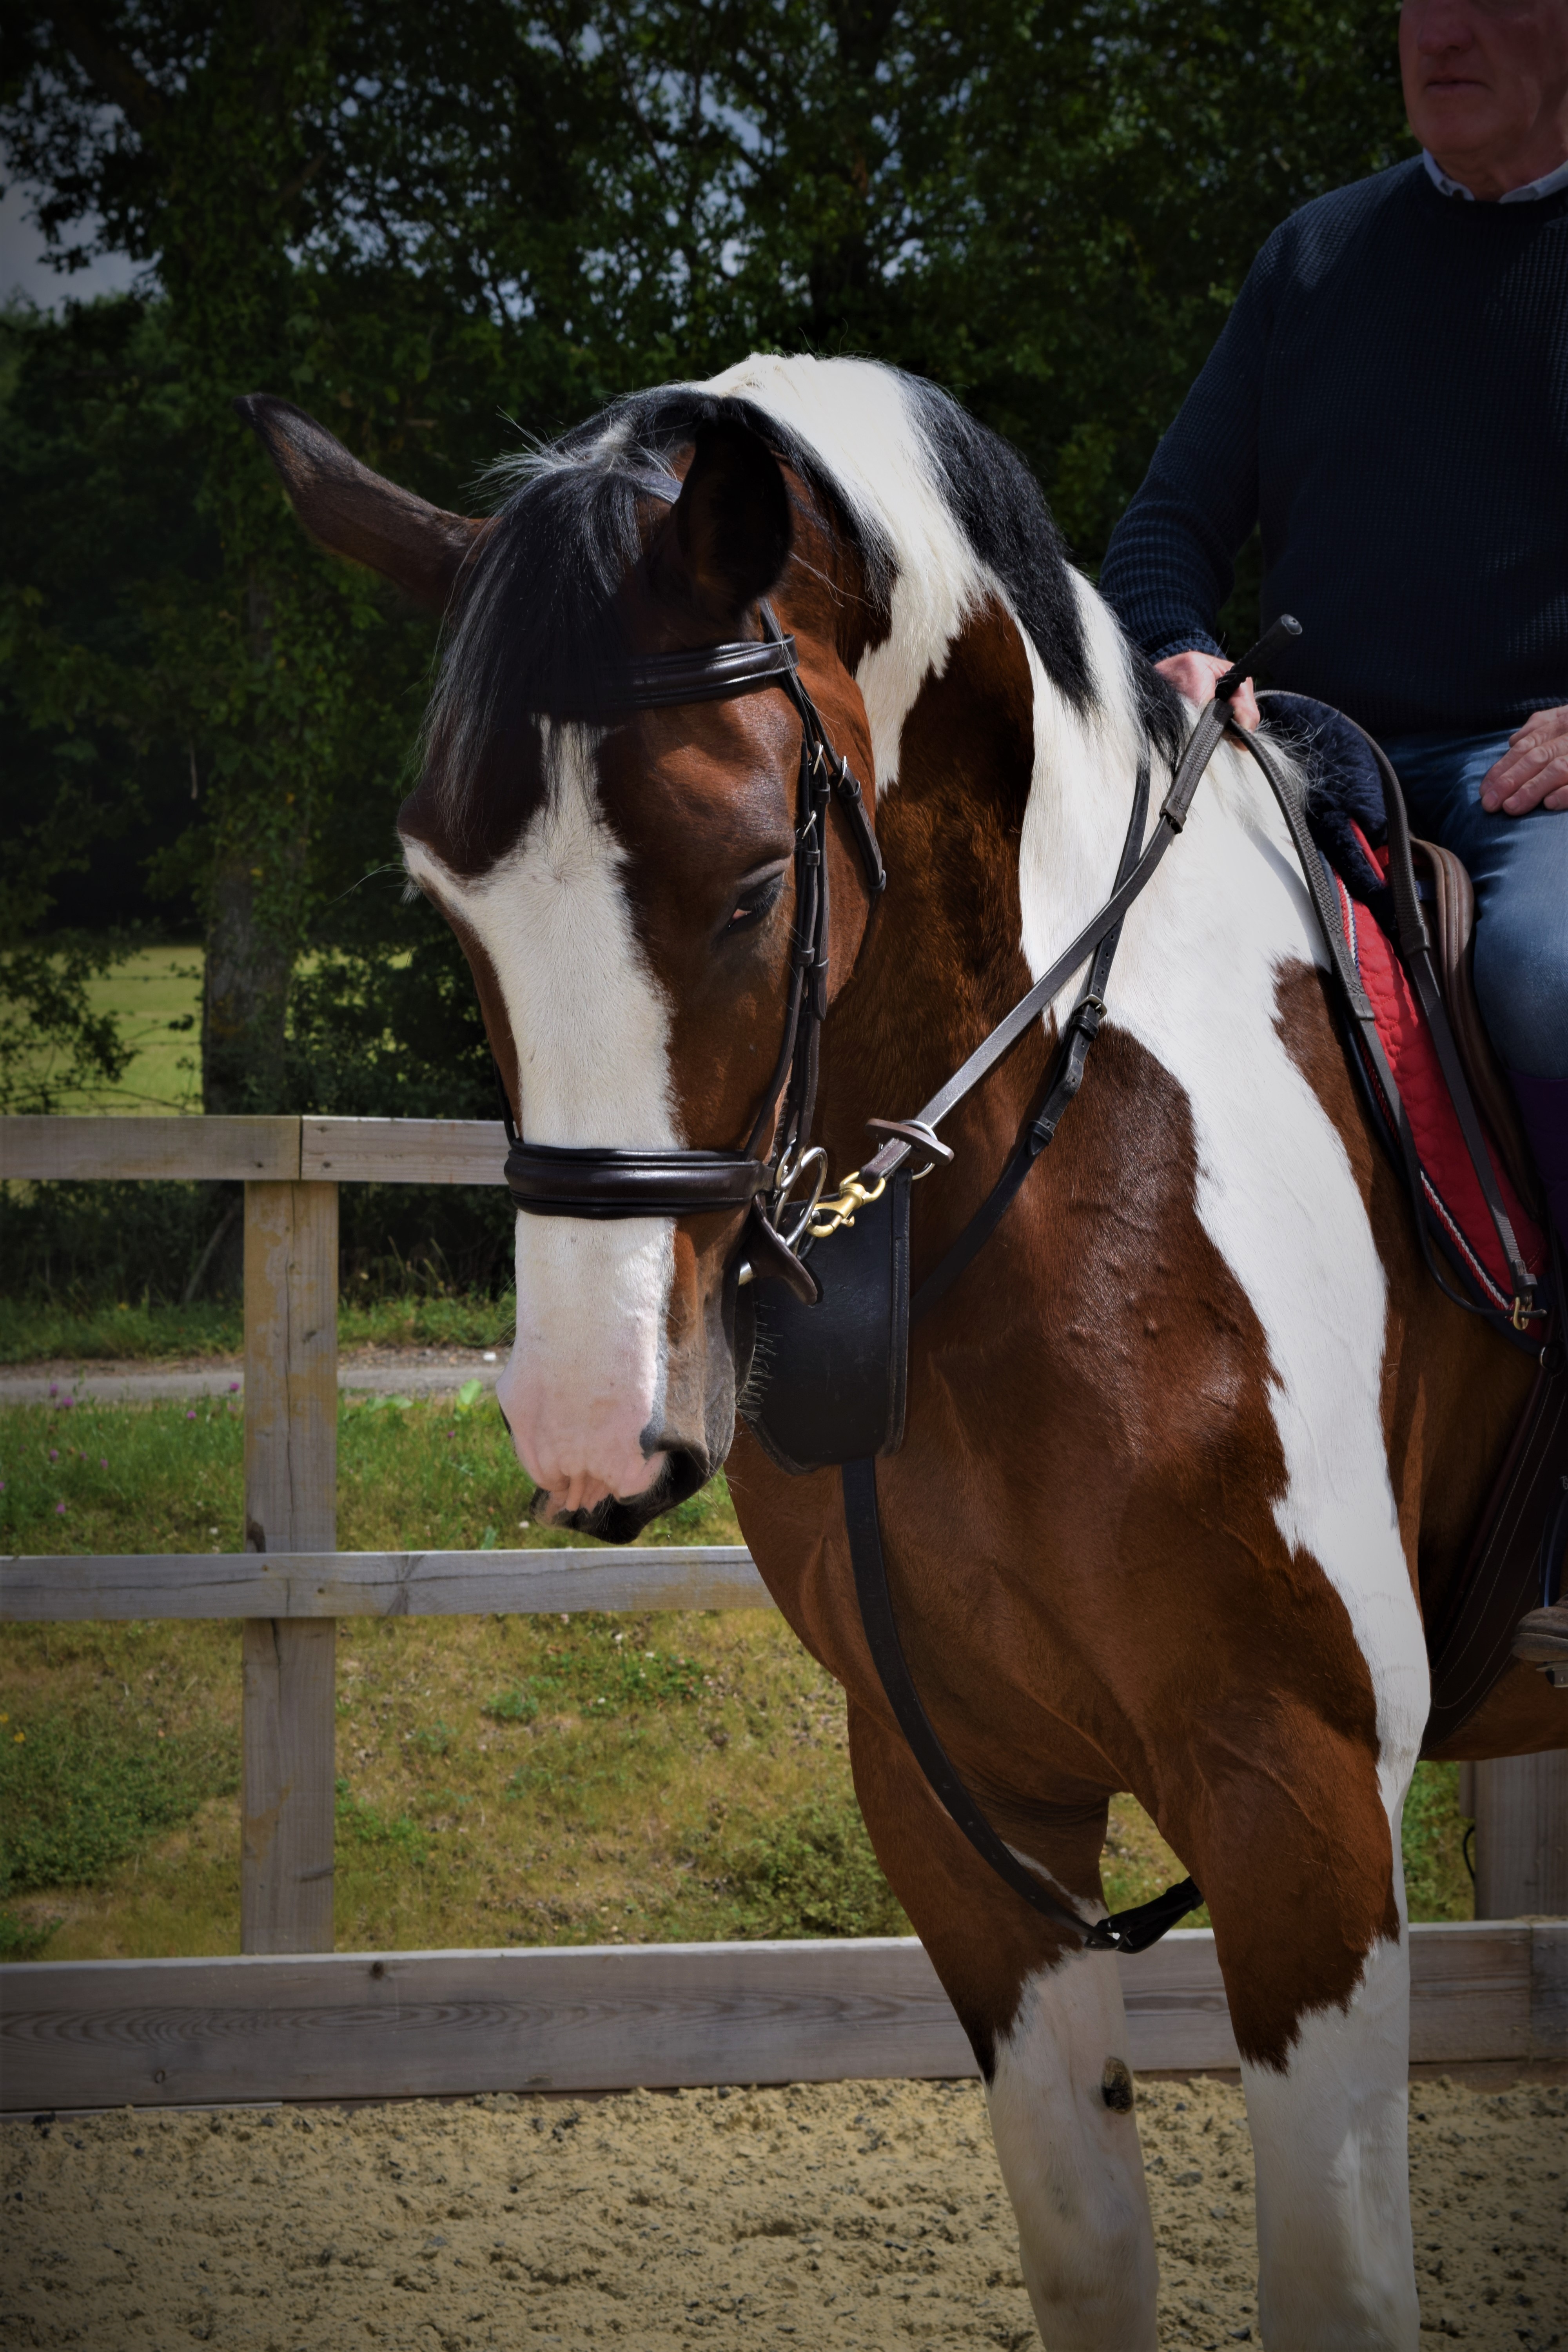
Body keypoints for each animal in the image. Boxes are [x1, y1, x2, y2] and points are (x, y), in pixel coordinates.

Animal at [244, 354, 1564, 2349]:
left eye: (739, 886)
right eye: (445, 898)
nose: (587, 1427)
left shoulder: (1303, 1797)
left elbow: (1333, 2287)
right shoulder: (962, 1808)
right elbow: (1088, 2253)